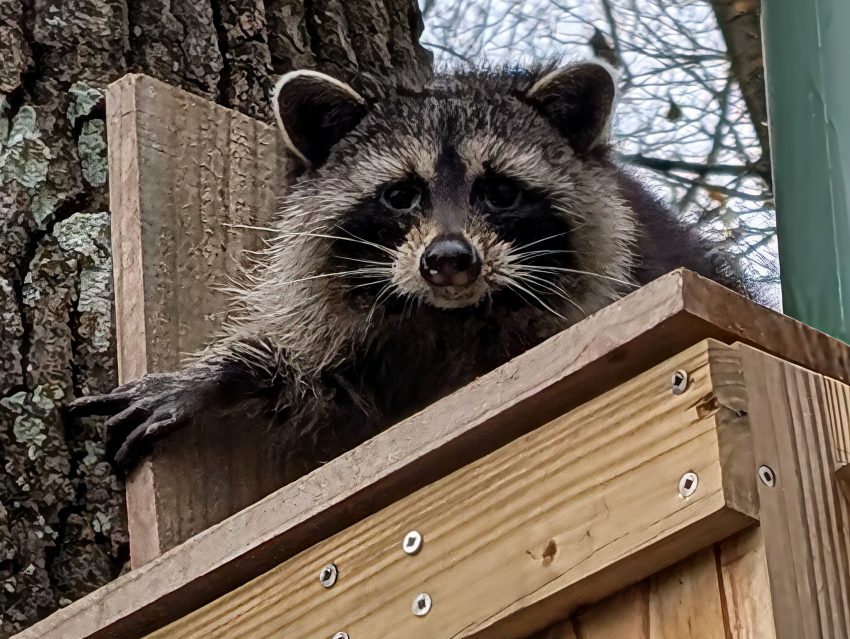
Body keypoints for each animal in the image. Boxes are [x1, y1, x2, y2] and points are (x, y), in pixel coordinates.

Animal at [70, 61, 740, 472]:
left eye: (500, 192)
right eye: (400, 195)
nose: (448, 261)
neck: (449, 315)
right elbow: (312, 380)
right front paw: (223, 375)